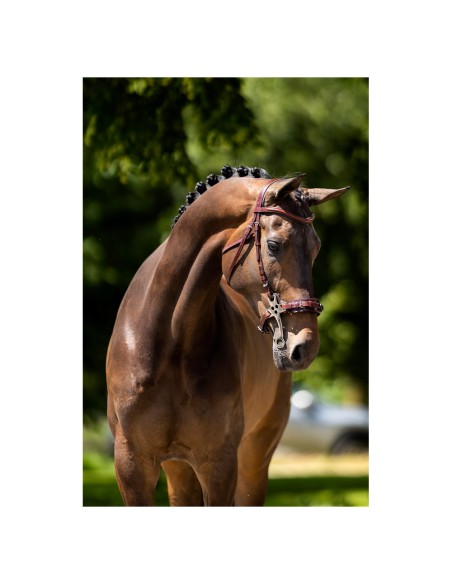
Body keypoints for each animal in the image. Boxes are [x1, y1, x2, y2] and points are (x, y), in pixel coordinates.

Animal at [106, 164, 349, 506]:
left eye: (315, 249)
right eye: (273, 245)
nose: (305, 347)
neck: (168, 340)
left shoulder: (219, 463)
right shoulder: (131, 465)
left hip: (253, 461)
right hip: (180, 471)